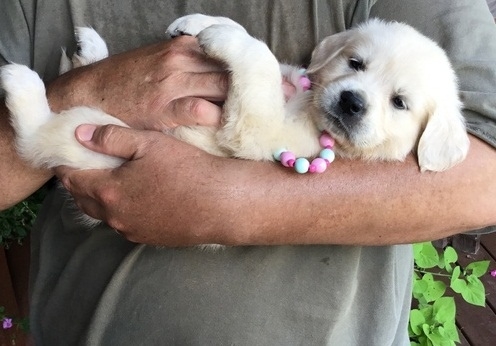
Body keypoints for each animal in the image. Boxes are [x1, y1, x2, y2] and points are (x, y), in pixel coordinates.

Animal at [0, 15, 466, 222]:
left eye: (399, 103)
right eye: (355, 63)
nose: (351, 102)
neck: (308, 110)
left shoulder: (256, 131)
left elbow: (258, 55)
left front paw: (223, 36)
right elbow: (257, 45)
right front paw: (202, 22)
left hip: (87, 136)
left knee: (34, 137)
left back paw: (21, 82)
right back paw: (91, 50)